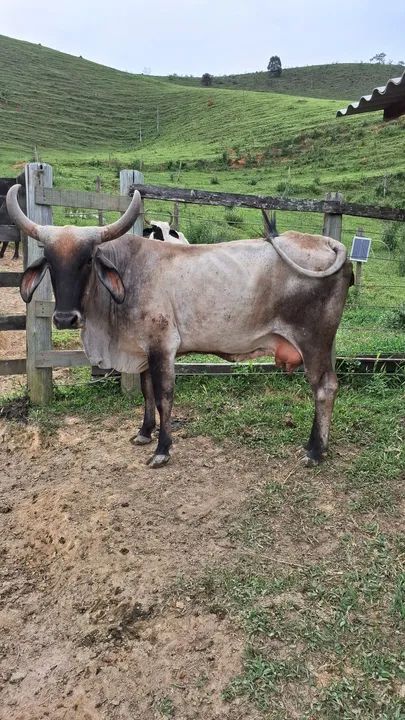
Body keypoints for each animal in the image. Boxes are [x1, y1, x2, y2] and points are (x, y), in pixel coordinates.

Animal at [7, 184, 352, 469]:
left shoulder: (162, 348)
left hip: (314, 342)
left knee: (325, 387)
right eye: (50, 261)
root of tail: (328, 243)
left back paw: (315, 451)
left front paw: (162, 449)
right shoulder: (144, 350)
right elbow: (146, 392)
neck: (130, 274)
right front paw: (144, 432)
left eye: (88, 259)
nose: (65, 318)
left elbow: (163, 397)